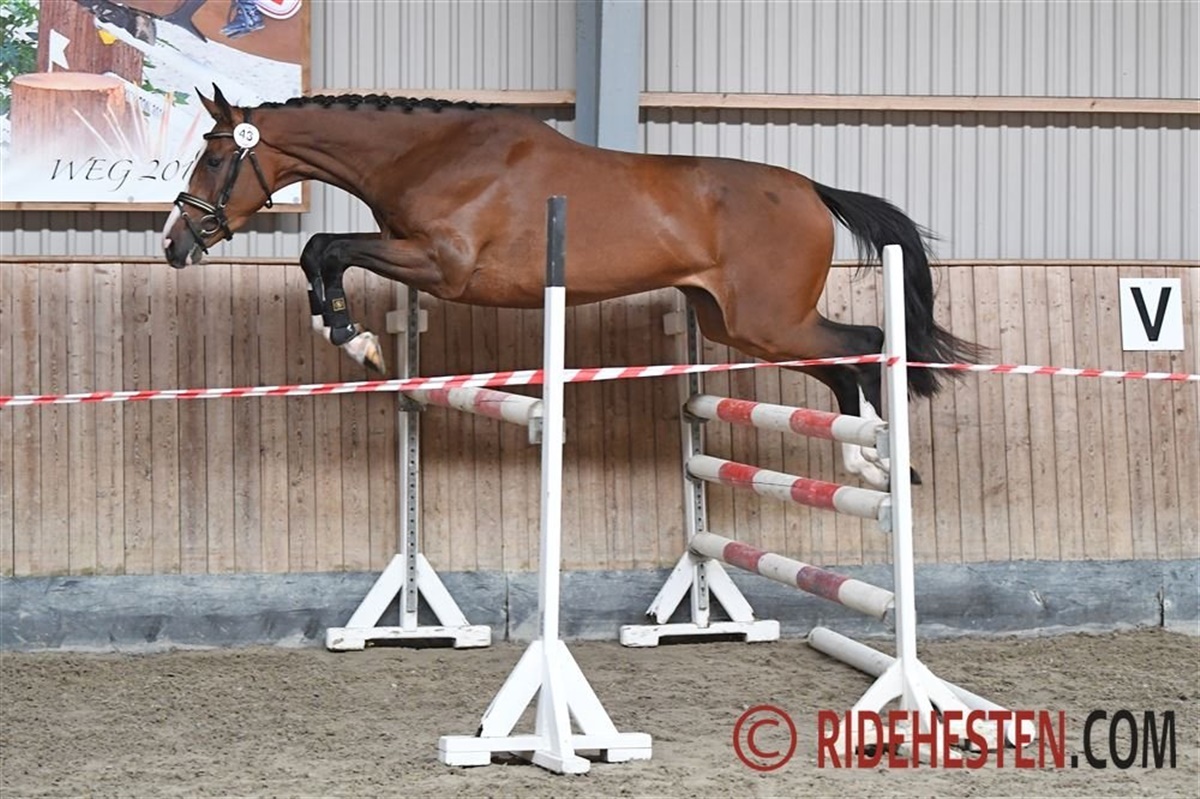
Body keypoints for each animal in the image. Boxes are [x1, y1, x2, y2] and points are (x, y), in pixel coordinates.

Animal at [162, 86, 979, 488]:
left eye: (213, 158)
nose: (174, 243)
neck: (431, 154)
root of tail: (811, 188)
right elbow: (322, 252)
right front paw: (350, 335)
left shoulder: (442, 264)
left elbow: (324, 246)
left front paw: (351, 336)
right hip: (734, 324)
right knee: (841, 363)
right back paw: (866, 461)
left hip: (769, 319)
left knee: (867, 343)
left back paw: (883, 458)